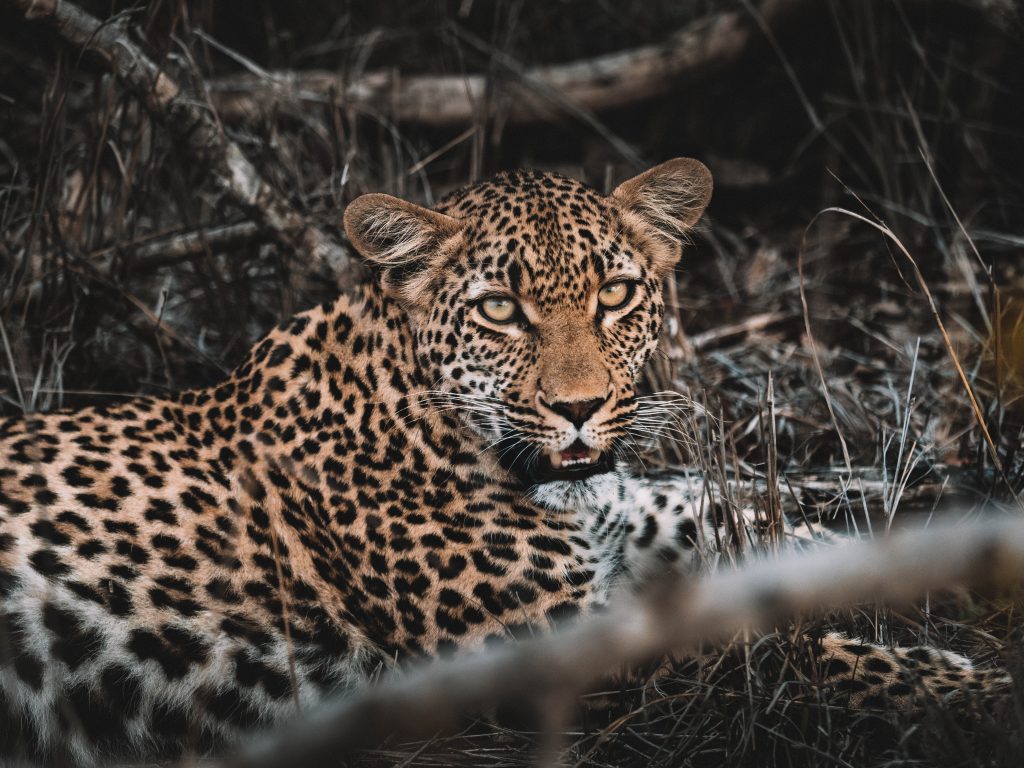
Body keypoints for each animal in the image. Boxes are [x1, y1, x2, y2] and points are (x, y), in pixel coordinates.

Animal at [0, 159, 1008, 766]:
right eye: (499, 311)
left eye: (616, 294)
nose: (579, 409)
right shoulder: (550, 651)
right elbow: (783, 655)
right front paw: (974, 689)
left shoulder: (631, 516)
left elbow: (749, 519)